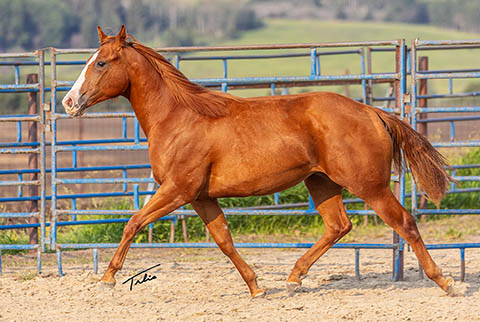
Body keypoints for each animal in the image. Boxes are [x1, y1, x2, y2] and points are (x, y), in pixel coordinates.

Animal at [62, 26, 458, 298]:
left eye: (100, 62)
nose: (68, 102)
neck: (179, 118)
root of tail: (371, 112)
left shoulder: (177, 190)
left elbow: (133, 223)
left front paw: (108, 278)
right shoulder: (201, 197)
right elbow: (224, 240)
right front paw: (256, 287)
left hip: (369, 185)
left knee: (404, 223)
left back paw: (445, 281)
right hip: (321, 182)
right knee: (338, 226)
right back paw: (294, 277)